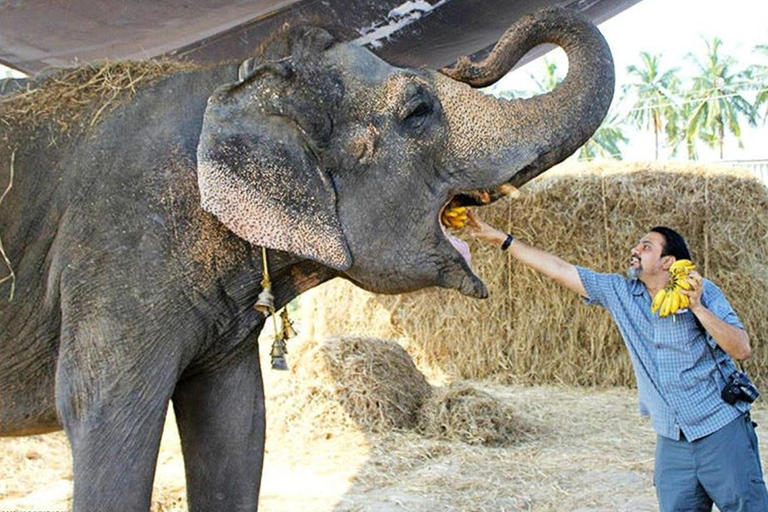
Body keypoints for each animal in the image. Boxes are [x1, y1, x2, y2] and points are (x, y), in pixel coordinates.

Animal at [0, 7, 612, 512]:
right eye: (418, 110)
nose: (468, 59)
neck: (239, 78)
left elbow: (237, 420)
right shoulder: (119, 250)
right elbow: (104, 411)